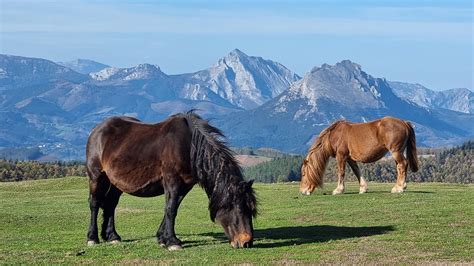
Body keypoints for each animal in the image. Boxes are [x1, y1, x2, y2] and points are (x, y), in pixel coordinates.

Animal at [85, 111, 256, 250]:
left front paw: (162, 238)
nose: (246, 242)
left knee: (110, 205)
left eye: (250, 209)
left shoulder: (184, 185)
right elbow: (171, 209)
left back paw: (112, 236)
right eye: (236, 207)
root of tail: (97, 129)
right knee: (94, 203)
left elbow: (173, 208)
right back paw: (92, 238)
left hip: (116, 183)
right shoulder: (172, 182)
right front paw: (172, 242)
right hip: (96, 176)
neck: (189, 146)